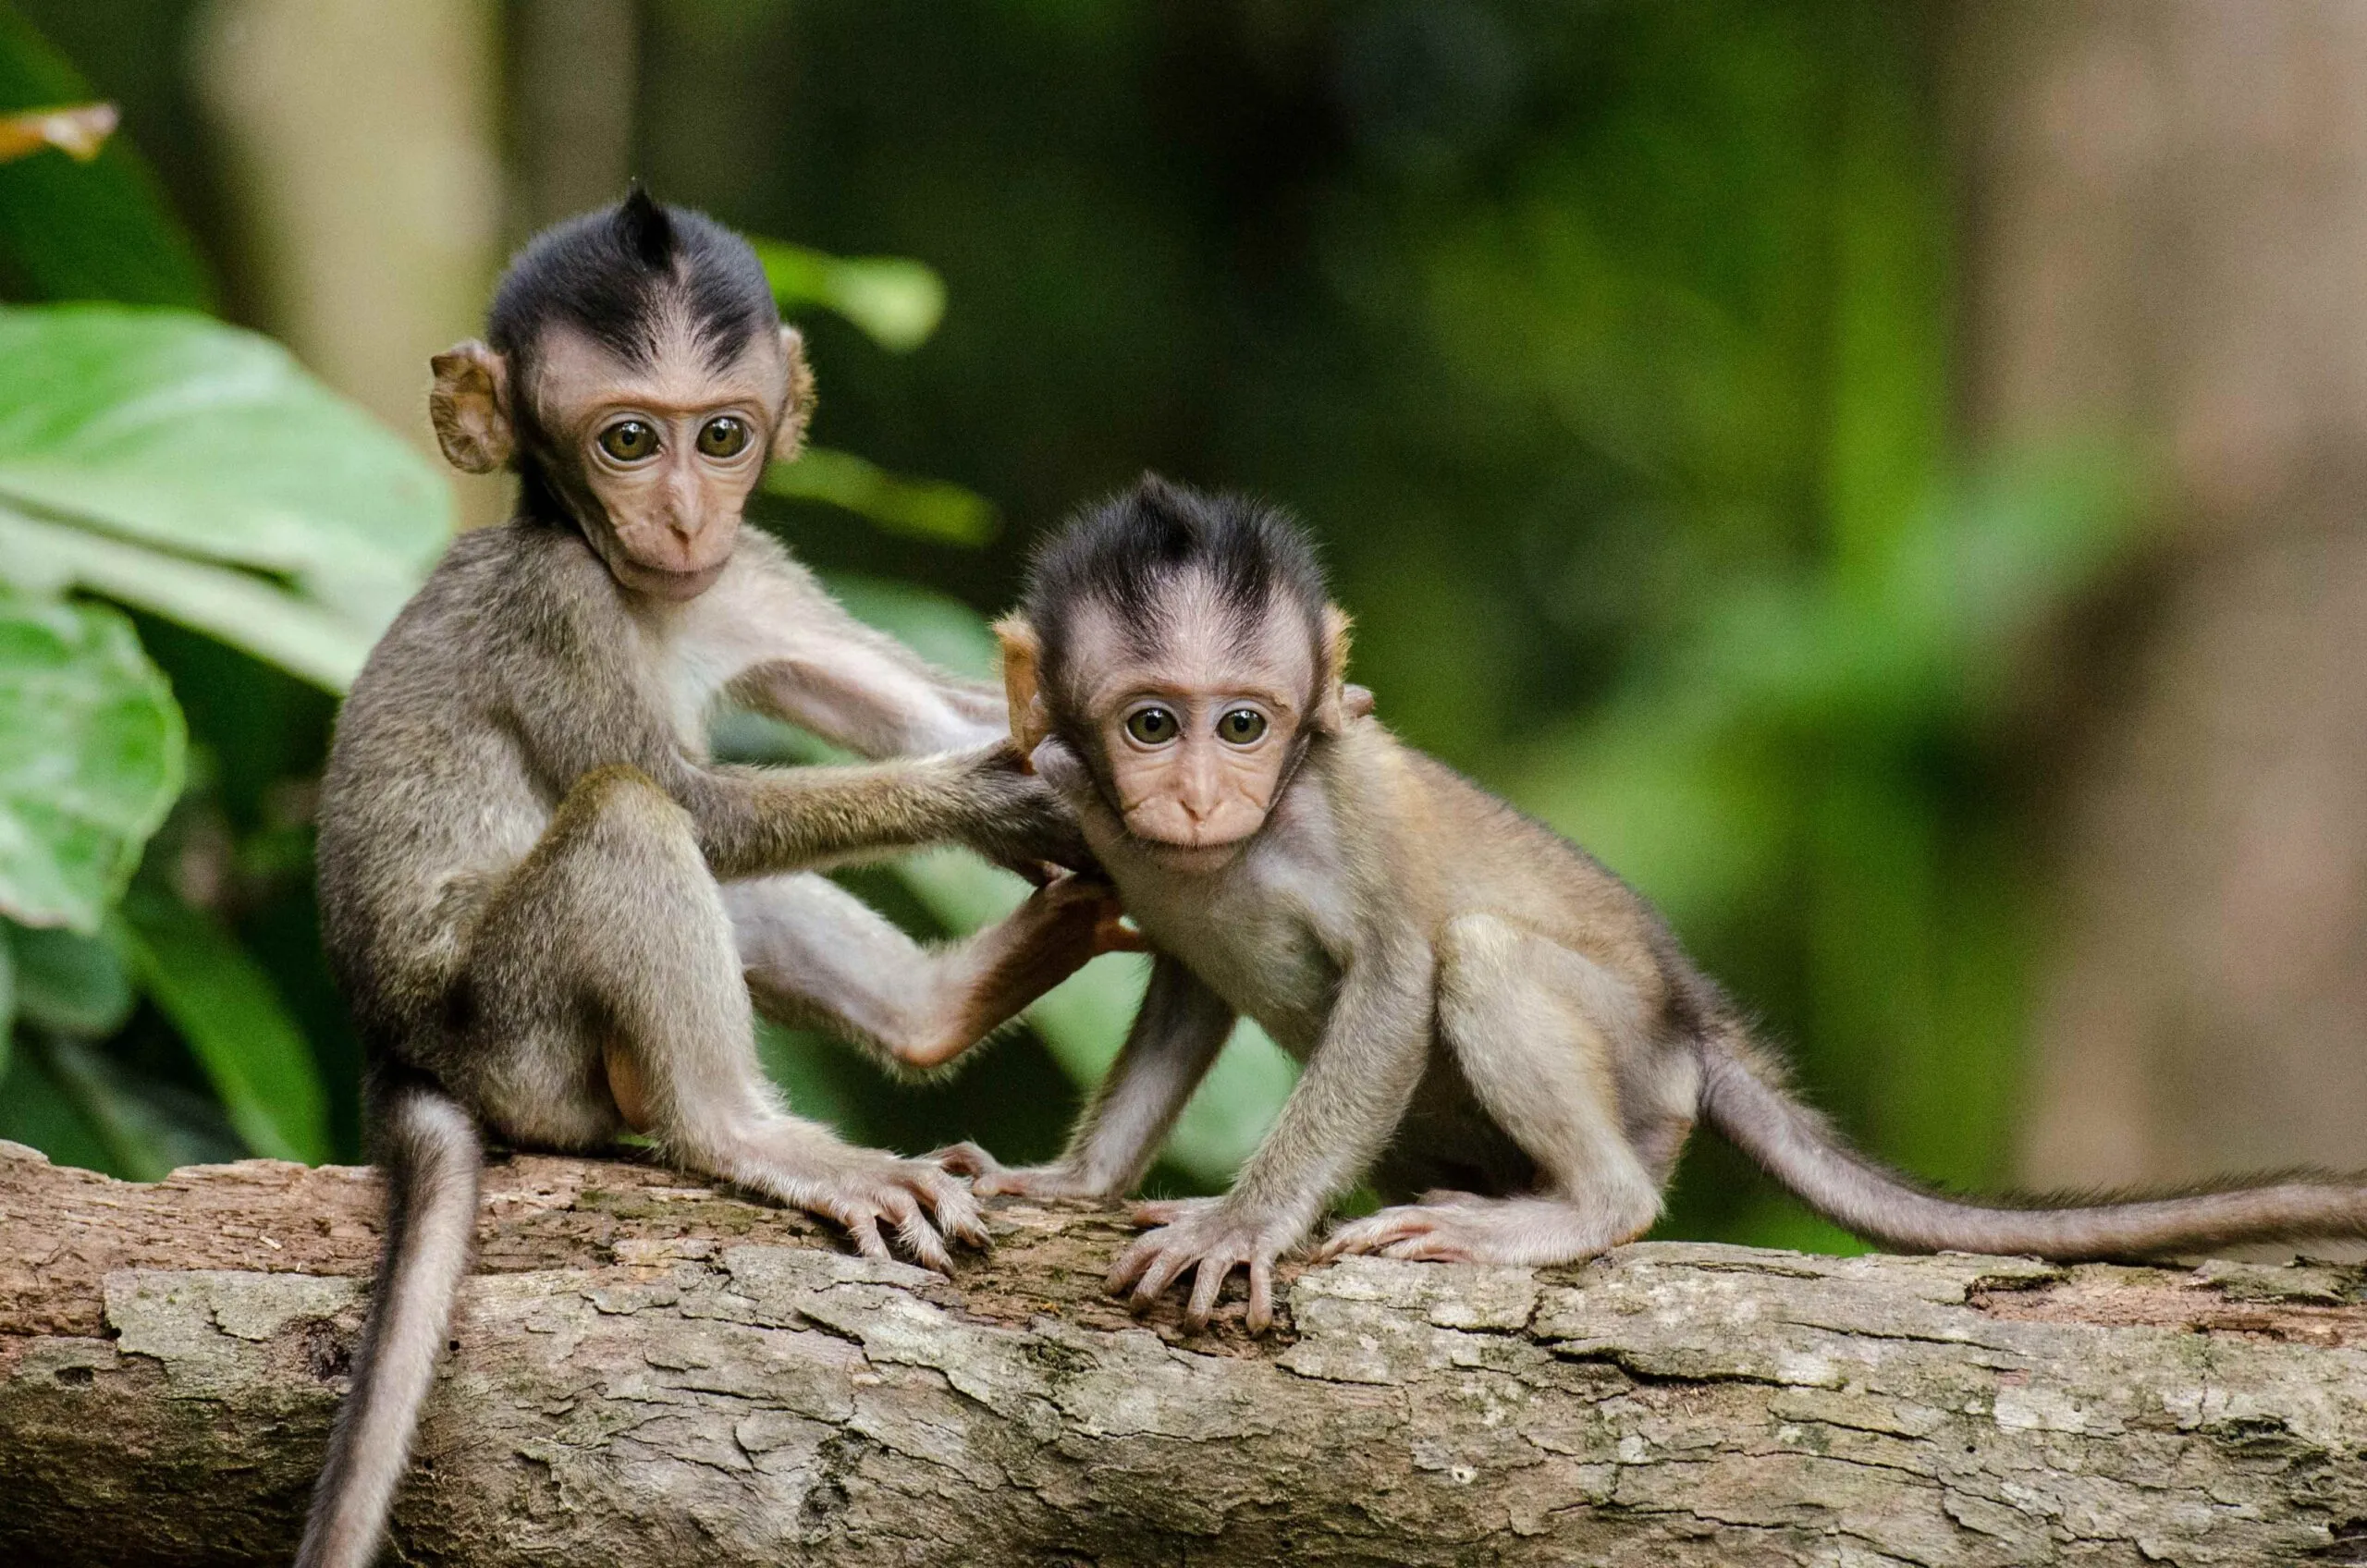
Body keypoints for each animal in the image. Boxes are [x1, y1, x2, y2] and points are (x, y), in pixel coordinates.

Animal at [297, 192, 1127, 1568]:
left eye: (722, 435)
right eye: (628, 440)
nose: (685, 516)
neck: (644, 591)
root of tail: (395, 1049)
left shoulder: (752, 575)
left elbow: (918, 708)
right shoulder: (555, 603)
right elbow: (690, 803)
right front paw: (1001, 796)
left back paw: (940, 1006)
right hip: (513, 1034)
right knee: (632, 820)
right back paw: (747, 1132)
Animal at [938, 475, 2367, 1335]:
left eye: (1243, 724)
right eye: (1152, 724)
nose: (1196, 795)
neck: (1221, 853)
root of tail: (1693, 1024)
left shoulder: (1337, 805)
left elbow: (1398, 976)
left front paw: (1242, 1222)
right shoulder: (1092, 814)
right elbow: (1184, 989)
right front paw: (1069, 1181)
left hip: (1637, 1072)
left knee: (1485, 959)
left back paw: (1583, 1208)